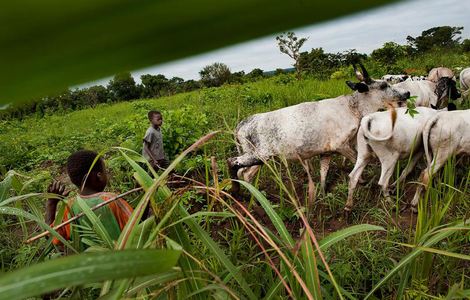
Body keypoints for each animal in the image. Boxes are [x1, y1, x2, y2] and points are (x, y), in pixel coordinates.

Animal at [226, 64, 410, 193]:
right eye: (384, 86)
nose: (406, 93)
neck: (352, 108)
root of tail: (242, 124)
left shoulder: (326, 151)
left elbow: (323, 173)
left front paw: (322, 193)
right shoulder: (341, 145)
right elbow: (359, 161)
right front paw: (364, 181)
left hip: (261, 158)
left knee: (245, 174)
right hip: (259, 155)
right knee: (235, 165)